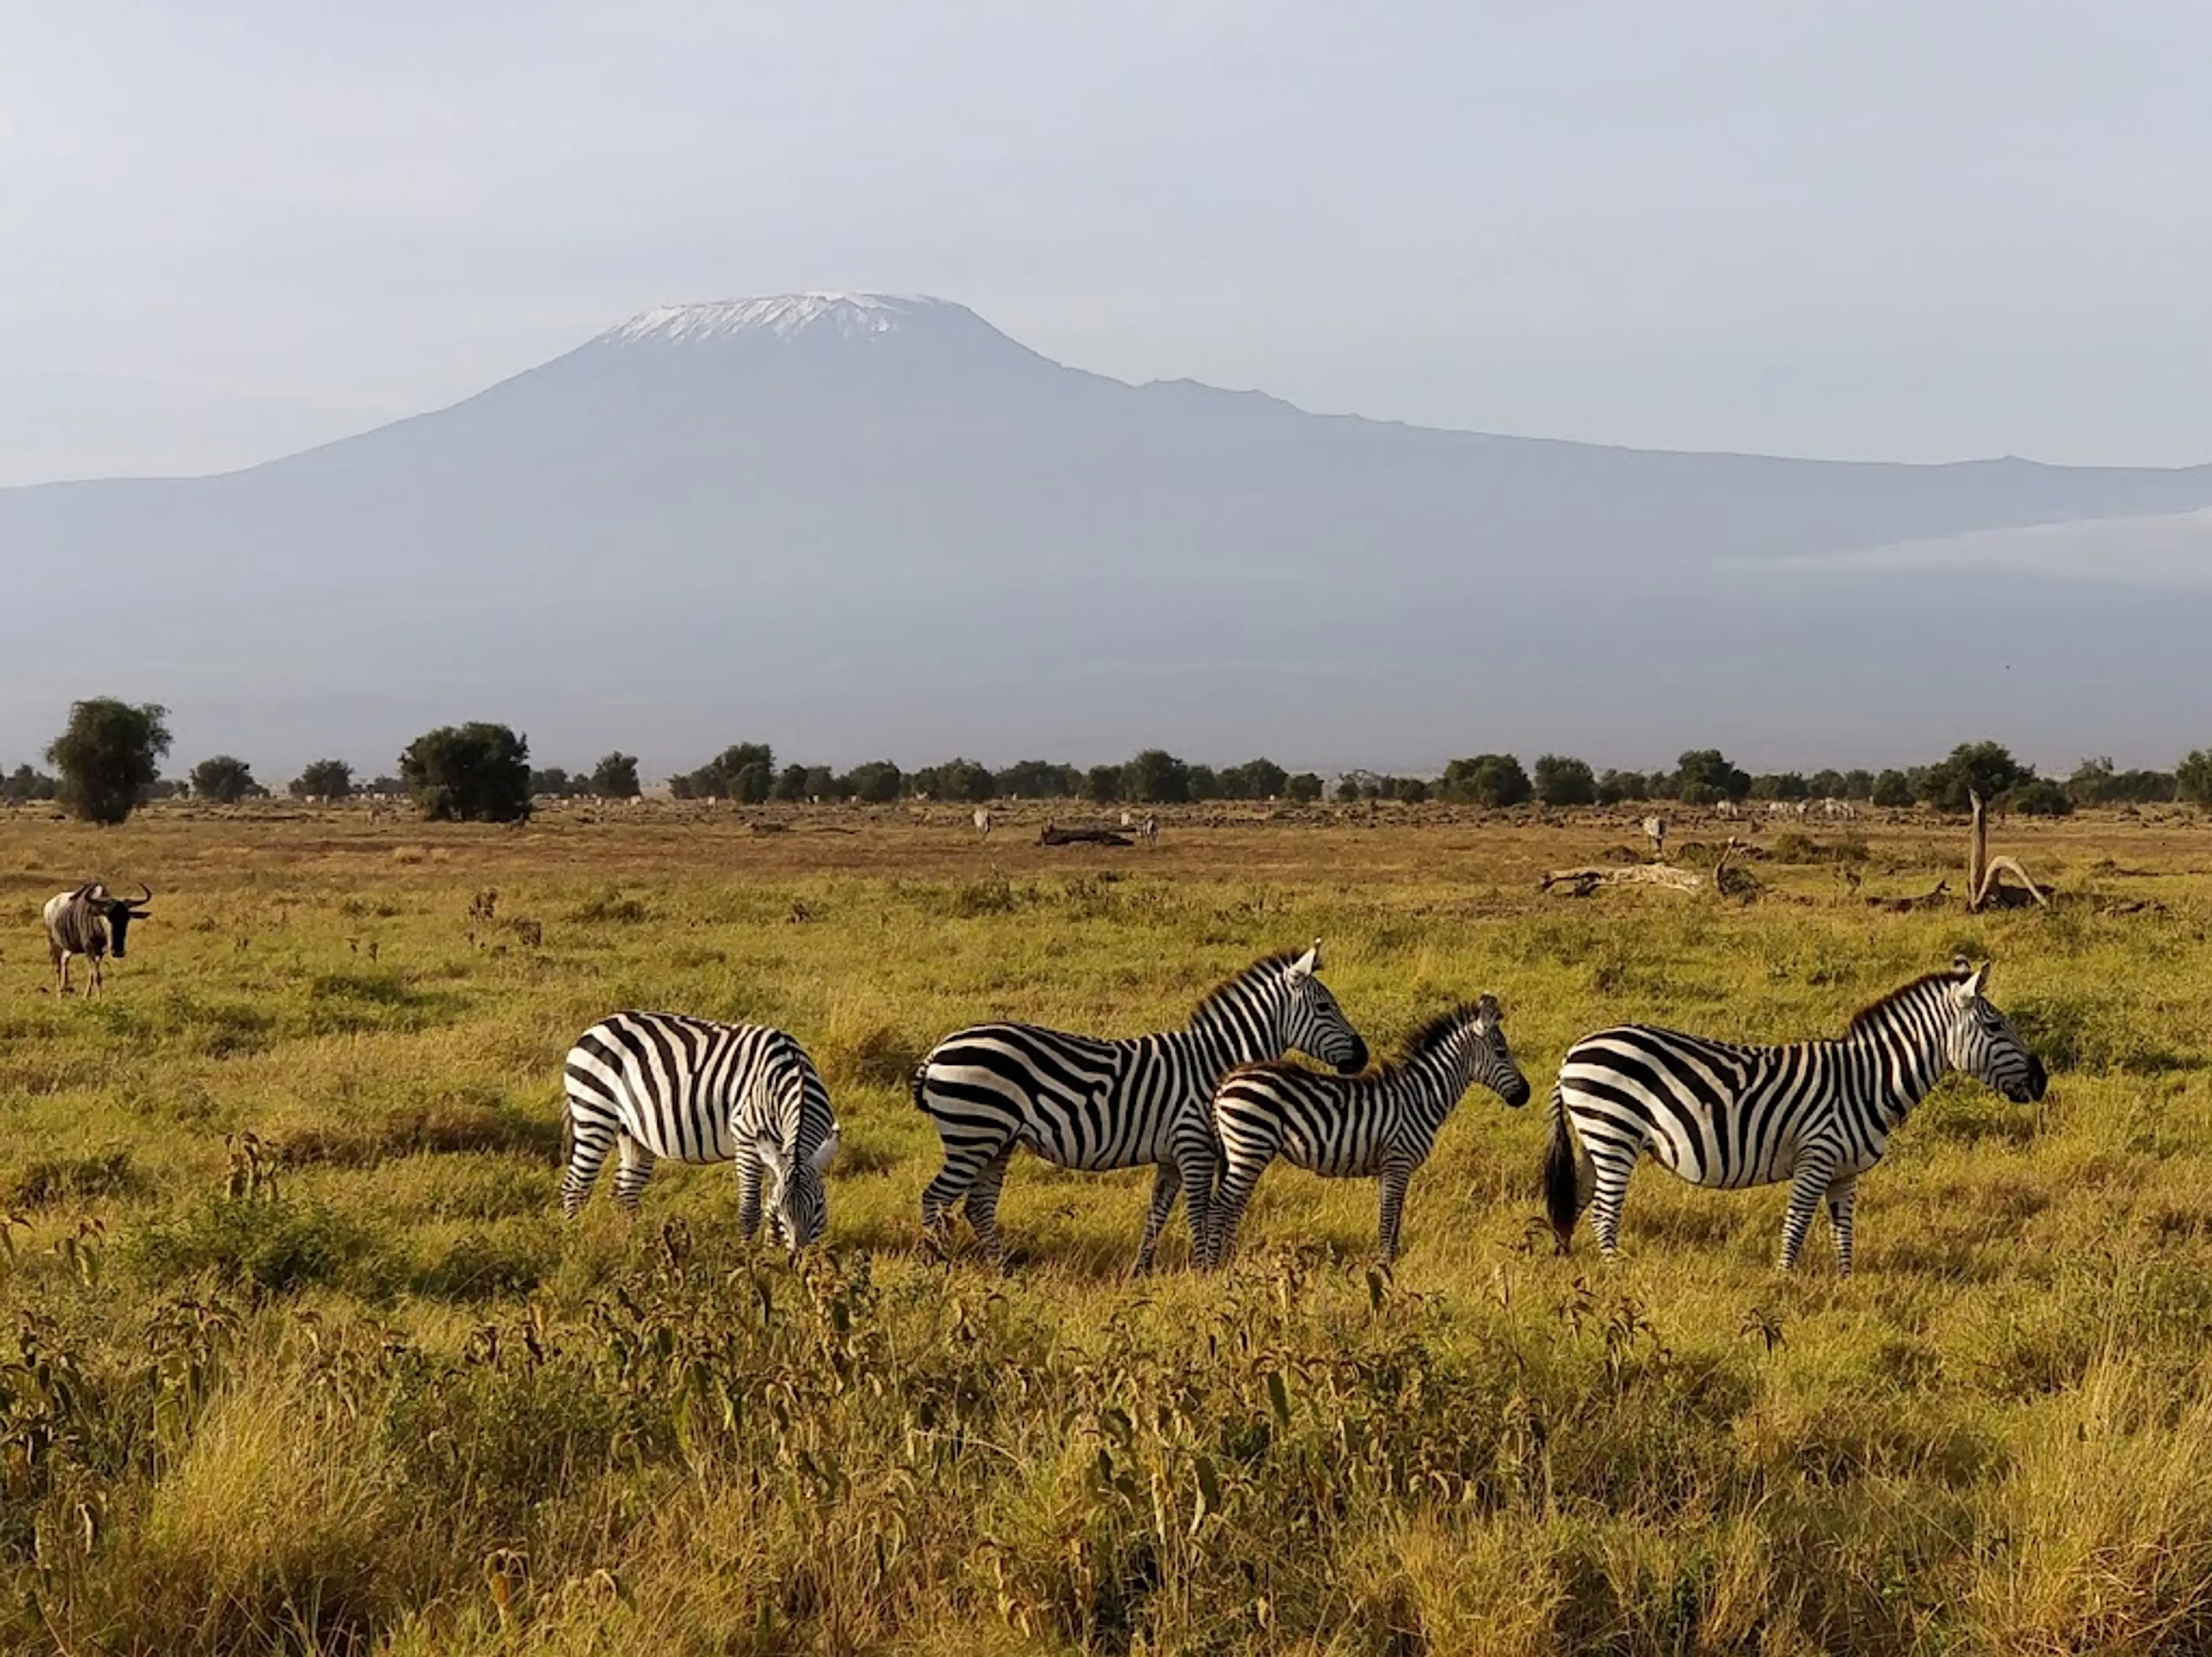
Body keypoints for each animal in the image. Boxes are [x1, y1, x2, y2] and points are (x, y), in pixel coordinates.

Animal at [42, 880, 152, 995]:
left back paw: (64, 988)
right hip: (53, 943)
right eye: (106, 918)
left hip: (68, 948)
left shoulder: (100, 952)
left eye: (127, 918)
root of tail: (48, 905)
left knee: (64, 960)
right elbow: (96, 975)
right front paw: (97, 997)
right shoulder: (89, 949)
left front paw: (88, 995)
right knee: (57, 966)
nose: (118, 952)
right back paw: (59, 993)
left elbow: (94, 974)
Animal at [566, 1008, 840, 1256]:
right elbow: (751, 1209)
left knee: (624, 1193)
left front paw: (771, 1252)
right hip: (594, 1114)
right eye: (787, 1211)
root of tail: (596, 1028)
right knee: (576, 1187)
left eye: (819, 1206)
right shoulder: (747, 1139)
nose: (800, 1259)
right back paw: (575, 1241)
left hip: (631, 1132)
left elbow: (770, 1200)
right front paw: (749, 1259)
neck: (792, 1077)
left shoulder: (776, 1151)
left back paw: (633, 1243)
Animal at [902, 942, 1362, 1265]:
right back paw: (936, 1264)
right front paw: (1203, 1271)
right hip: (973, 1134)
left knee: (978, 1206)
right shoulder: (1195, 1147)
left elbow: (1157, 1214)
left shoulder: (1173, 1157)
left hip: (997, 1140)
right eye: (1326, 1007)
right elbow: (1199, 1213)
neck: (1216, 1062)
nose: (1362, 1056)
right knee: (934, 1197)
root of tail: (939, 1049)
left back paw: (1003, 1271)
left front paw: (1143, 1271)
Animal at [1203, 995, 1531, 1265]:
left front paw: (1389, 1262)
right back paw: (1213, 1268)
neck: (1420, 1097)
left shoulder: (1391, 1168)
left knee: (1233, 1205)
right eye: (1502, 1052)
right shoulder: (1398, 1162)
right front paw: (1384, 1267)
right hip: (1250, 1145)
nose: (1525, 1095)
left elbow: (1393, 1218)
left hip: (1246, 1151)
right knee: (1220, 1205)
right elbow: (1389, 1218)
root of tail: (1227, 1081)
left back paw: (1231, 1261)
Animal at [1548, 951, 2044, 1274]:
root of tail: (1573, 1051)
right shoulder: (1816, 1156)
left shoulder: (1846, 1171)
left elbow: (1844, 1234)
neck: (1867, 1082)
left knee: (1577, 1200)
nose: (2043, 1080)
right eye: (1995, 1025)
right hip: (1614, 1134)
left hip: (1596, 1141)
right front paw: (1783, 1283)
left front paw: (1845, 1287)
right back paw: (1615, 1276)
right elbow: (1798, 1224)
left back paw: (1567, 1266)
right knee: (1604, 1213)